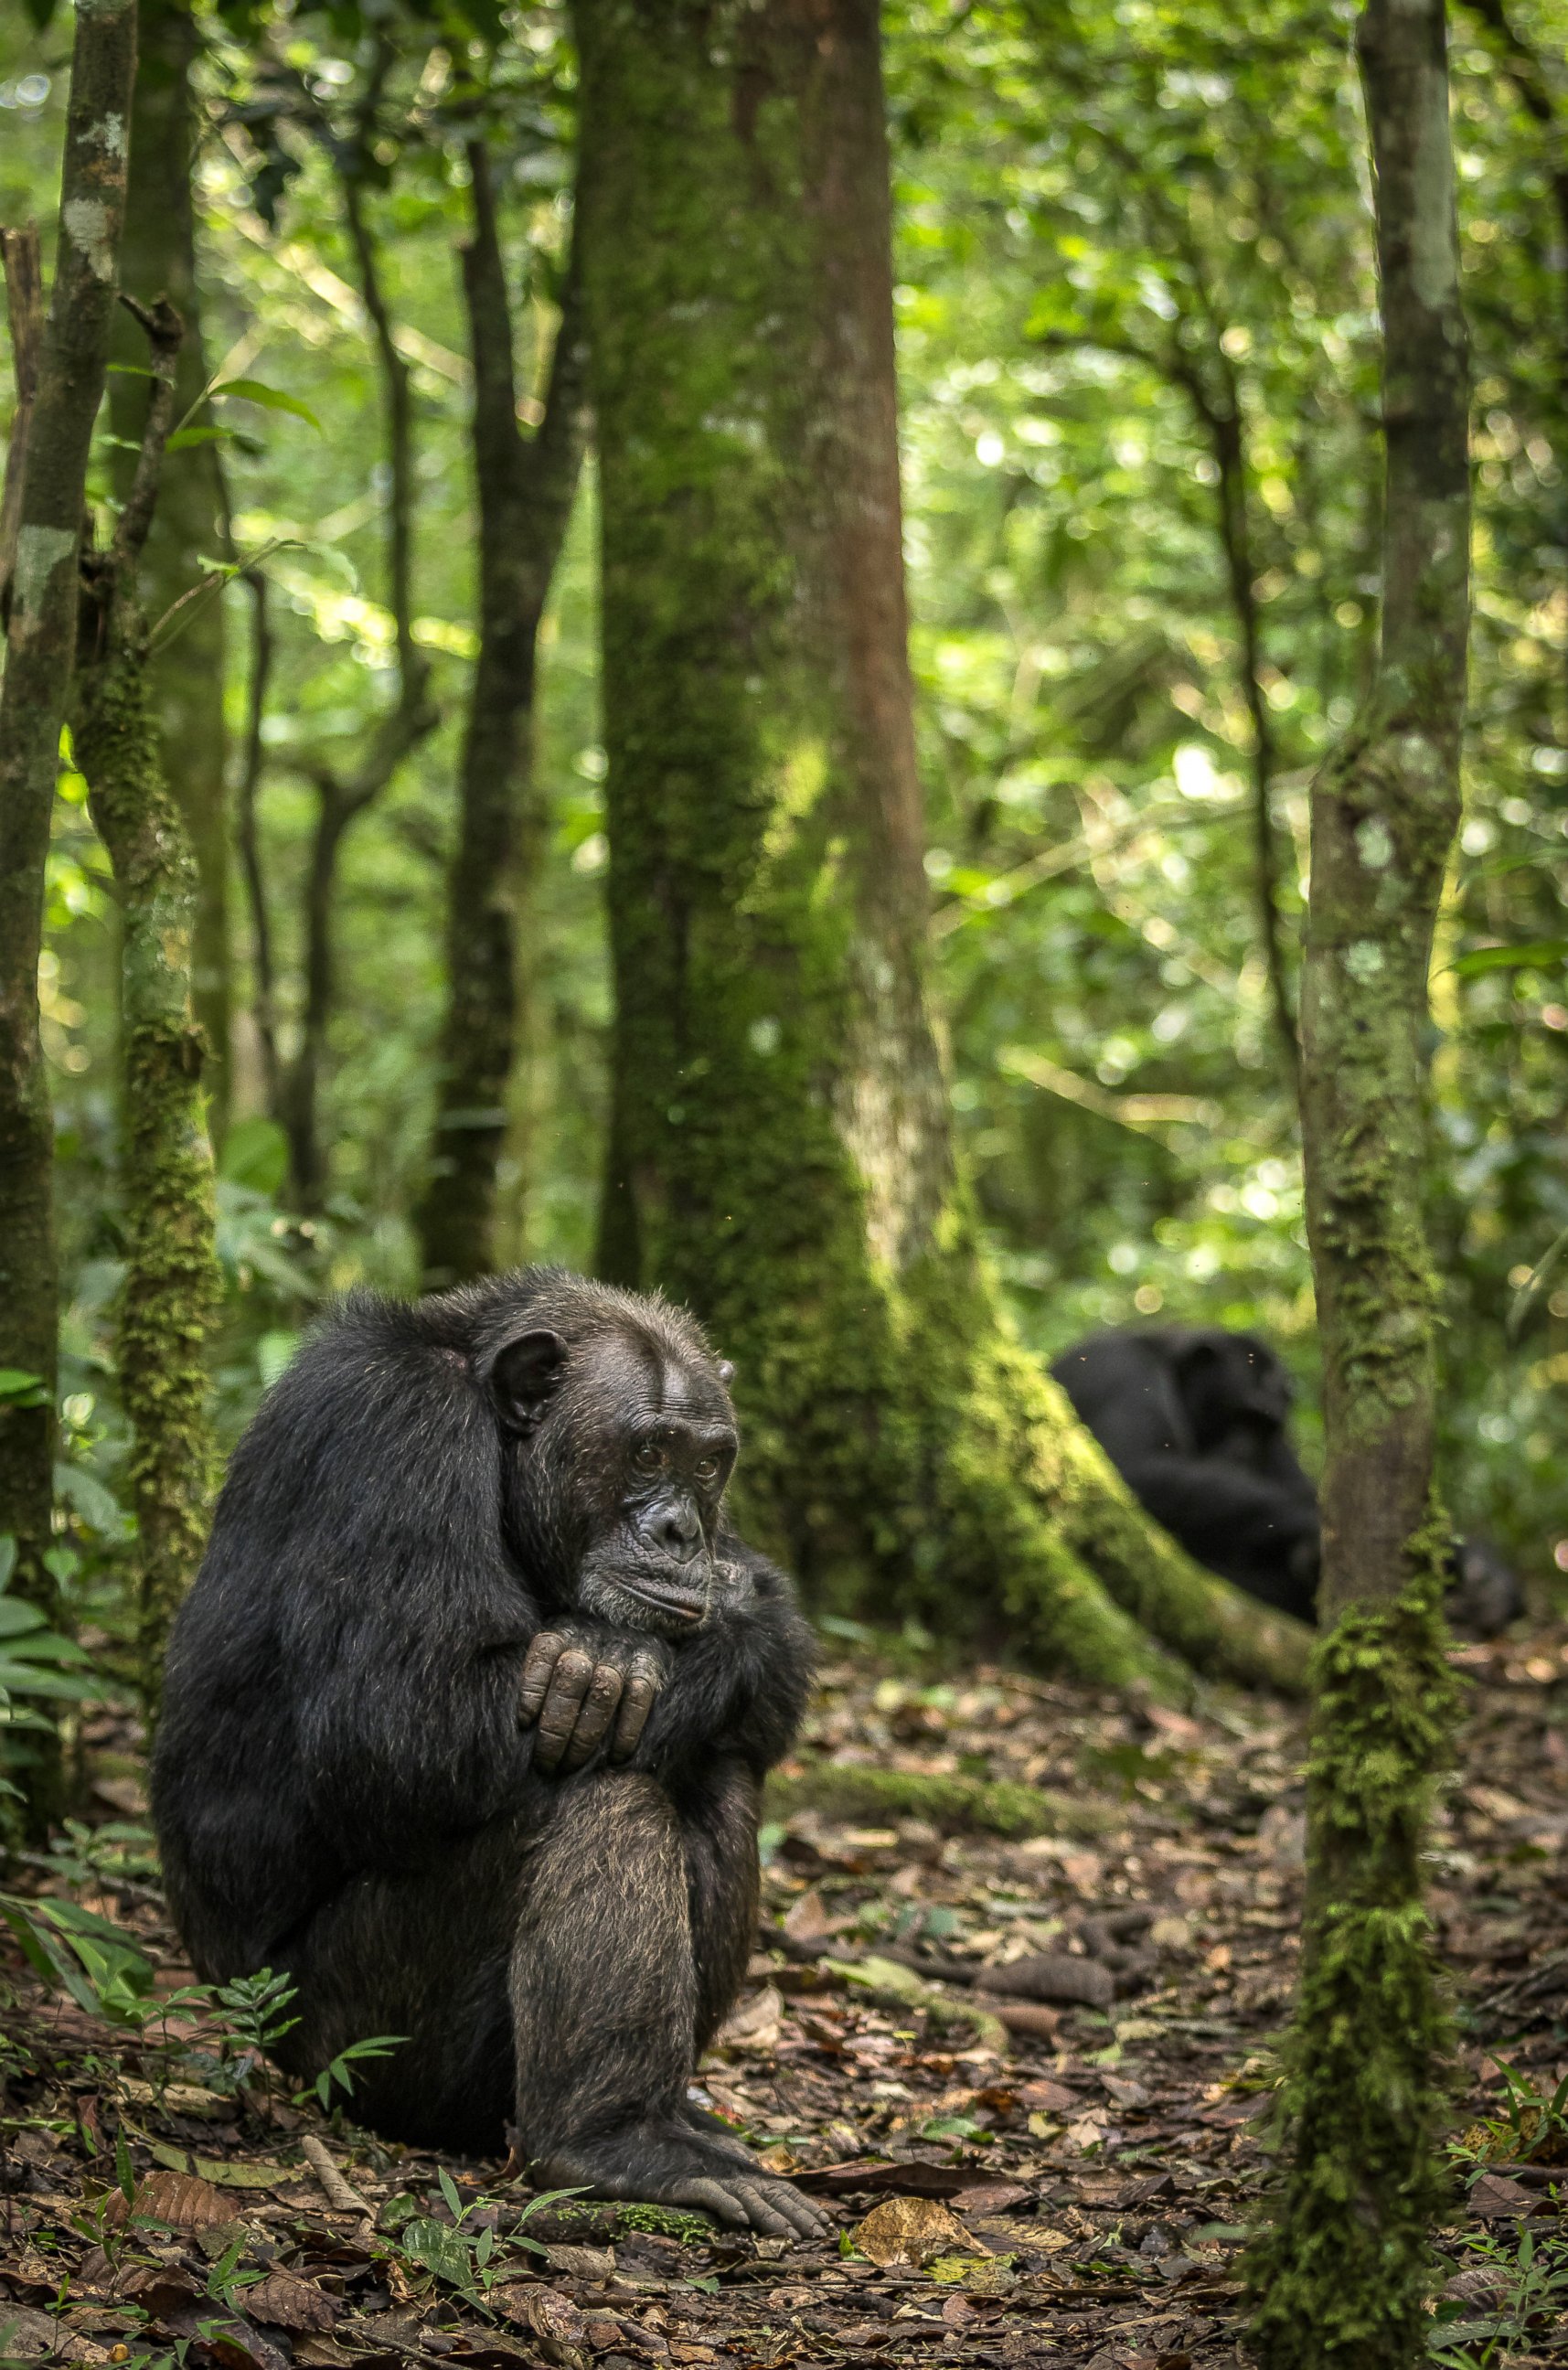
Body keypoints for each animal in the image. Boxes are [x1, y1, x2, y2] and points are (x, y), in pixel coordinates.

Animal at [154, 1270, 833, 2227]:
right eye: (648, 1453)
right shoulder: (395, 1430)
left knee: (718, 1767)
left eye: (706, 1463)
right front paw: (609, 1656)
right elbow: (401, 1726)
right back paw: (615, 2139)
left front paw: (711, 1621)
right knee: (598, 1789)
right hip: (354, 2044)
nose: (681, 1531)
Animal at [1056, 1327, 1525, 1639]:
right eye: (1242, 1413)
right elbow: (1134, 1469)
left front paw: (1485, 1572)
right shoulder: (1119, 1375)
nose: (1244, 1449)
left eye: (1264, 1425)